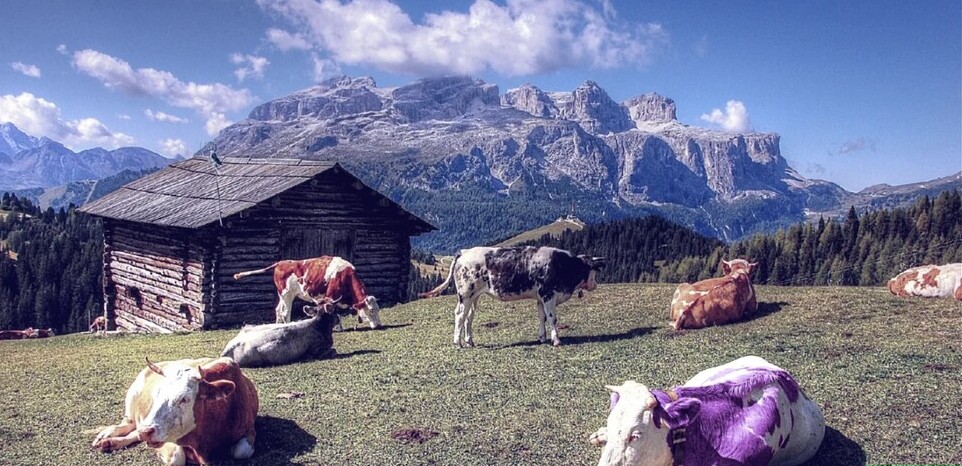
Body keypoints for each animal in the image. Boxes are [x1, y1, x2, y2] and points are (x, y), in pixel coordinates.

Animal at [91, 354, 256, 464]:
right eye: (157, 393)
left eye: (184, 399)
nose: (146, 431)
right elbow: (177, 456)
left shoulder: (250, 430)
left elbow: (241, 451)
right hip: (133, 395)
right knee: (129, 424)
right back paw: (108, 435)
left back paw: (110, 443)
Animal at [232, 255, 382, 328]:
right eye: (371, 310)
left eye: (378, 309)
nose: (379, 326)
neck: (345, 275)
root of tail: (281, 263)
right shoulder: (330, 295)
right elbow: (332, 309)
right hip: (287, 294)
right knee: (285, 312)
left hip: (282, 295)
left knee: (278, 310)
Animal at [418, 246, 604, 348]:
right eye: (593, 270)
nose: (595, 285)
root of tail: (465, 252)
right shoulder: (548, 294)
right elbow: (552, 317)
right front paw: (556, 340)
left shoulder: (540, 297)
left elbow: (541, 317)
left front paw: (542, 338)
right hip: (465, 294)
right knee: (459, 315)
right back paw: (458, 343)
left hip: (474, 296)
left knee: (469, 317)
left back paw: (470, 341)